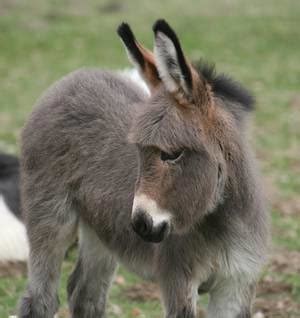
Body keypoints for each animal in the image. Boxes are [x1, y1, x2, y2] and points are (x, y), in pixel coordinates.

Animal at [18, 20, 268, 318]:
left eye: (171, 154)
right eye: (139, 152)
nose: (139, 224)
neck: (222, 222)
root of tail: (77, 76)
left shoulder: (236, 285)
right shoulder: (178, 279)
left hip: (100, 230)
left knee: (85, 294)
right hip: (49, 216)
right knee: (40, 298)